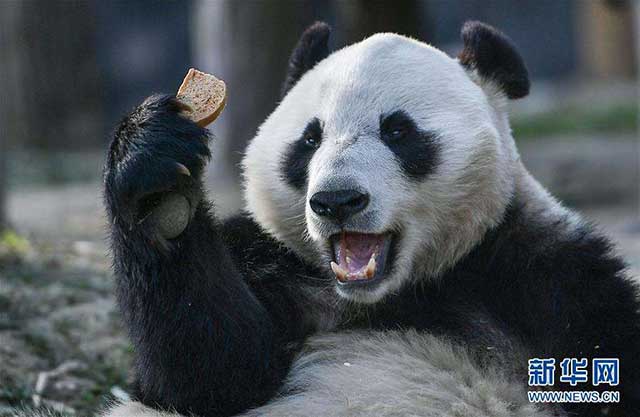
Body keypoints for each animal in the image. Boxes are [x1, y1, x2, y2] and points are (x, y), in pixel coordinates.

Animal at [100, 21, 640, 417]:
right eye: (310, 139)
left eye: (398, 131)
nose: (337, 200)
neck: (403, 291)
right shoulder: (270, 262)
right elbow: (209, 377)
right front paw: (158, 187)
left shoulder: (549, 276)